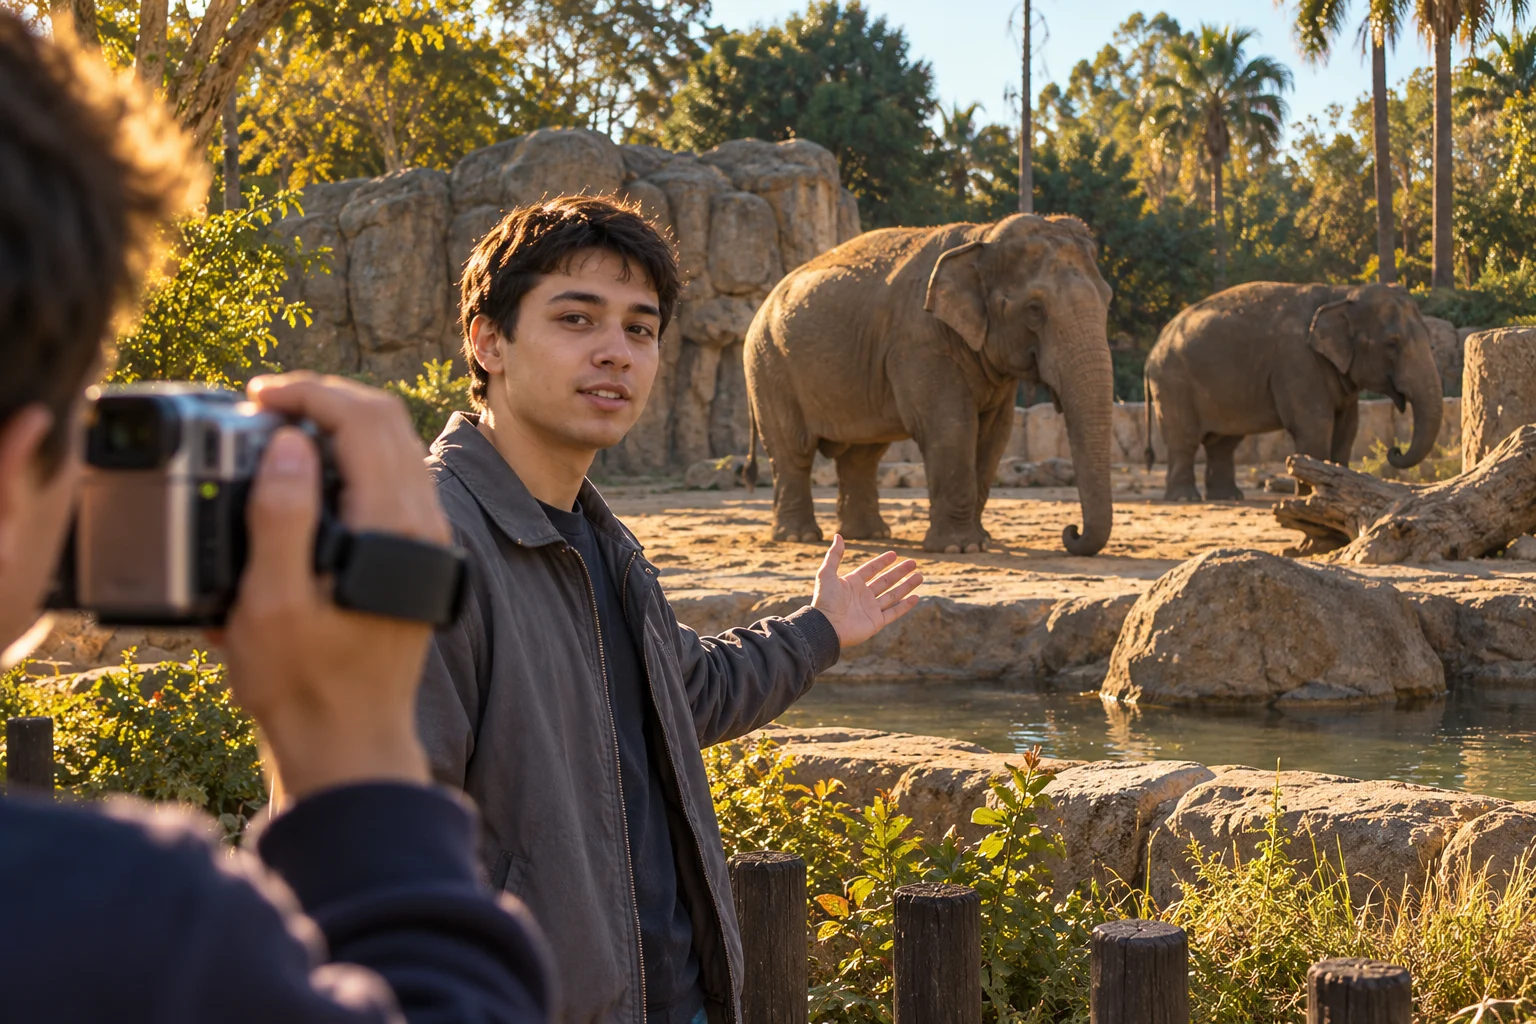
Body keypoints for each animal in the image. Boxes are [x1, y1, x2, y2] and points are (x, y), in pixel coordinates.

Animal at [743, 213, 1116, 555]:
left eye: (1108, 300)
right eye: (1035, 309)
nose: (1071, 532)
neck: (982, 236)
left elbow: (995, 434)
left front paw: (981, 541)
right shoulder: (921, 341)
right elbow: (951, 425)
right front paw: (960, 548)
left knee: (862, 454)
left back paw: (869, 535)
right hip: (768, 364)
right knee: (793, 449)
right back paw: (800, 538)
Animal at [1144, 281, 1444, 501]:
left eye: (1431, 343)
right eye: (1392, 344)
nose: (1394, 450)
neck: (1341, 293)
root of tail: (1153, 350)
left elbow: (1348, 428)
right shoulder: (1297, 360)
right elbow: (1315, 425)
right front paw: (1311, 496)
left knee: (1224, 441)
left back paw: (1229, 497)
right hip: (1173, 382)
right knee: (1184, 439)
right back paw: (1185, 499)